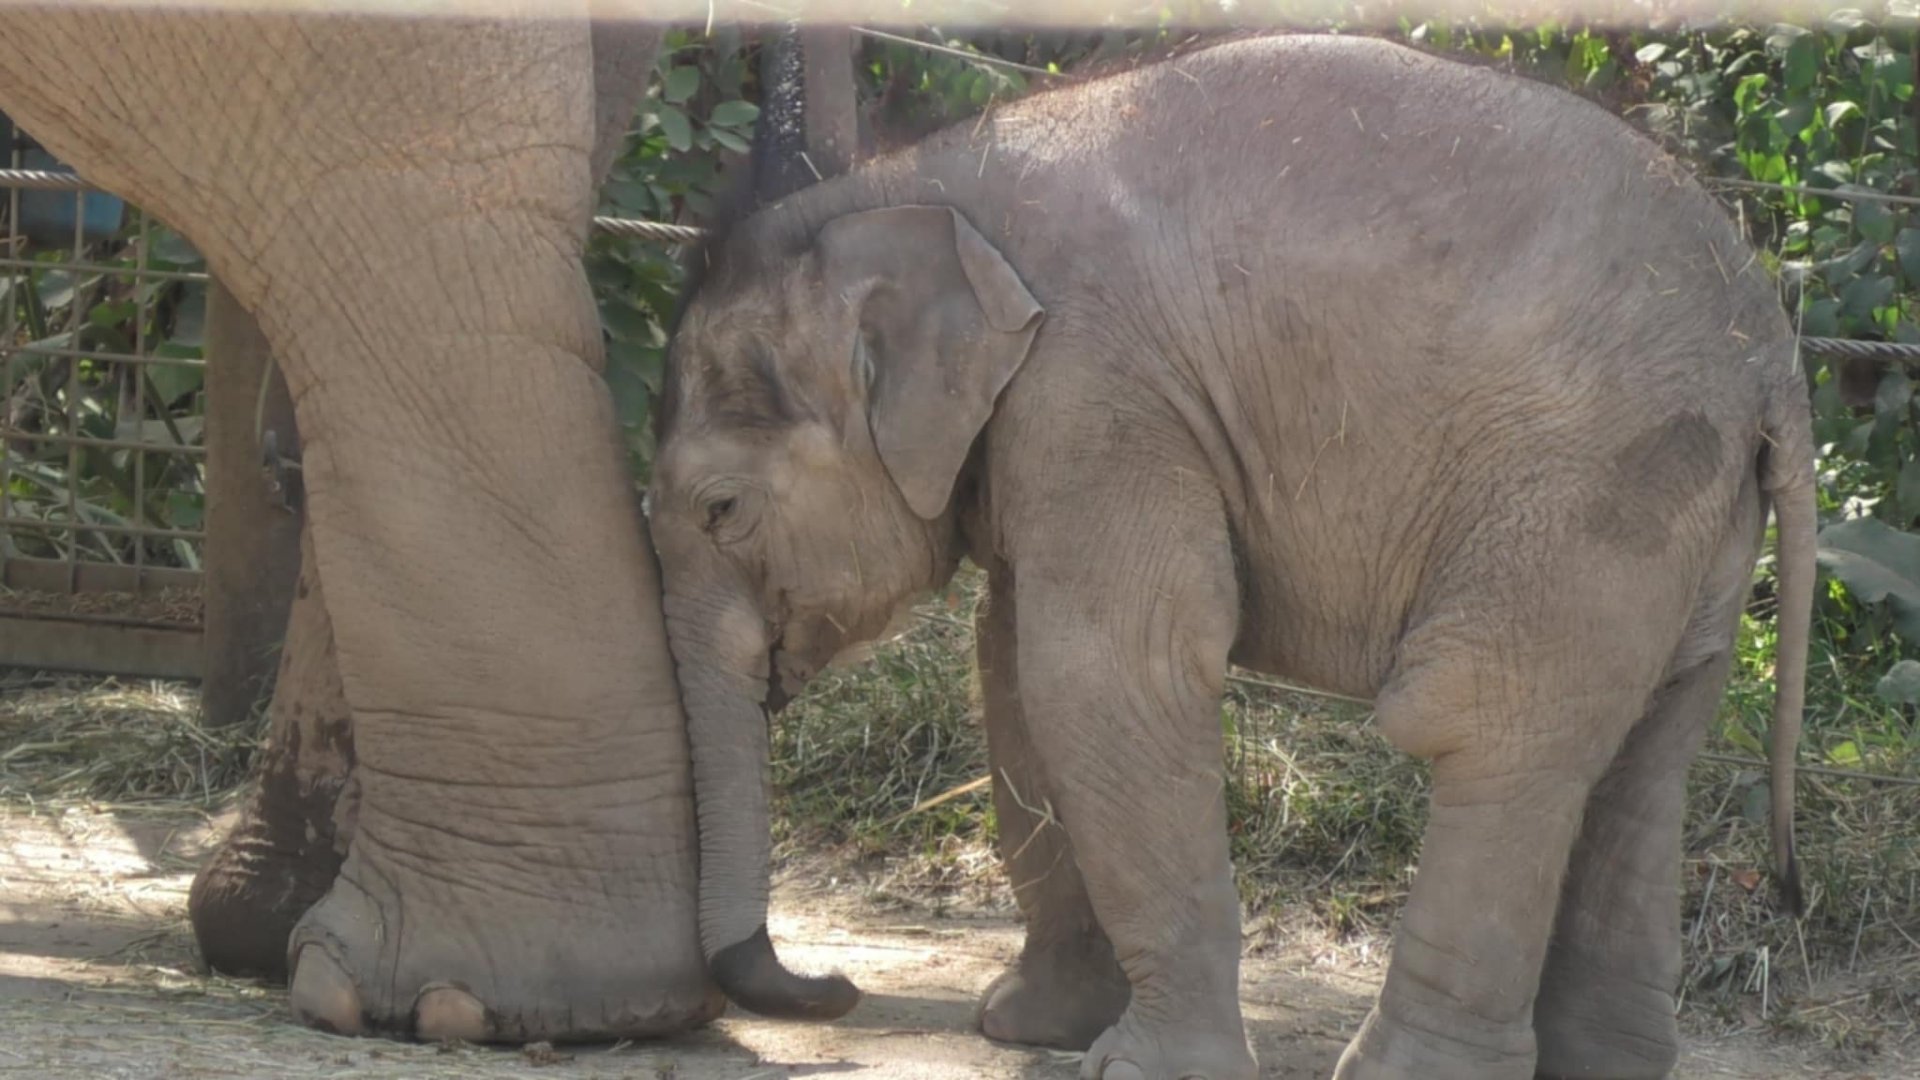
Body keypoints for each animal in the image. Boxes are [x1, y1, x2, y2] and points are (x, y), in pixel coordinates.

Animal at [646, 32, 1815, 1080]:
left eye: (720, 508)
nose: (835, 989)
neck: (895, 185)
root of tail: (1770, 350)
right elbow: (1014, 670)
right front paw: (1029, 1028)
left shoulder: (1096, 384)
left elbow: (1112, 670)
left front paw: (1132, 1068)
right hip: (1688, 516)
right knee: (1647, 749)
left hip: (1583, 481)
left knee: (1488, 725)